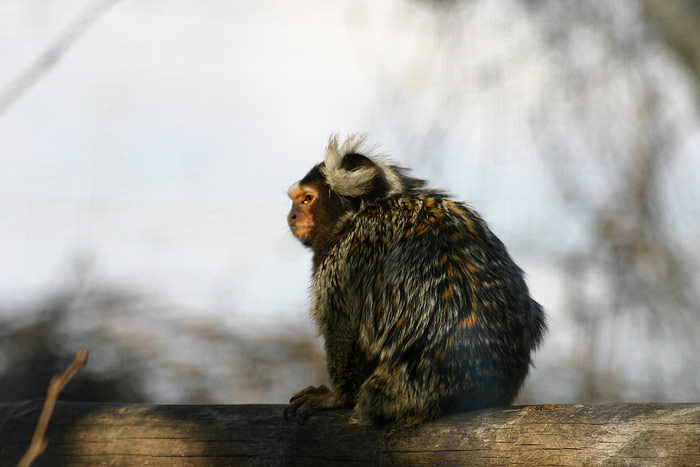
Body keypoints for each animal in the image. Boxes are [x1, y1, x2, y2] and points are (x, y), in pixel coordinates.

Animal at [284, 136, 548, 428]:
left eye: (307, 200)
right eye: (296, 201)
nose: (292, 216)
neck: (362, 212)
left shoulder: (344, 257)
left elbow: (344, 326)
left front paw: (336, 398)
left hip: (398, 390)